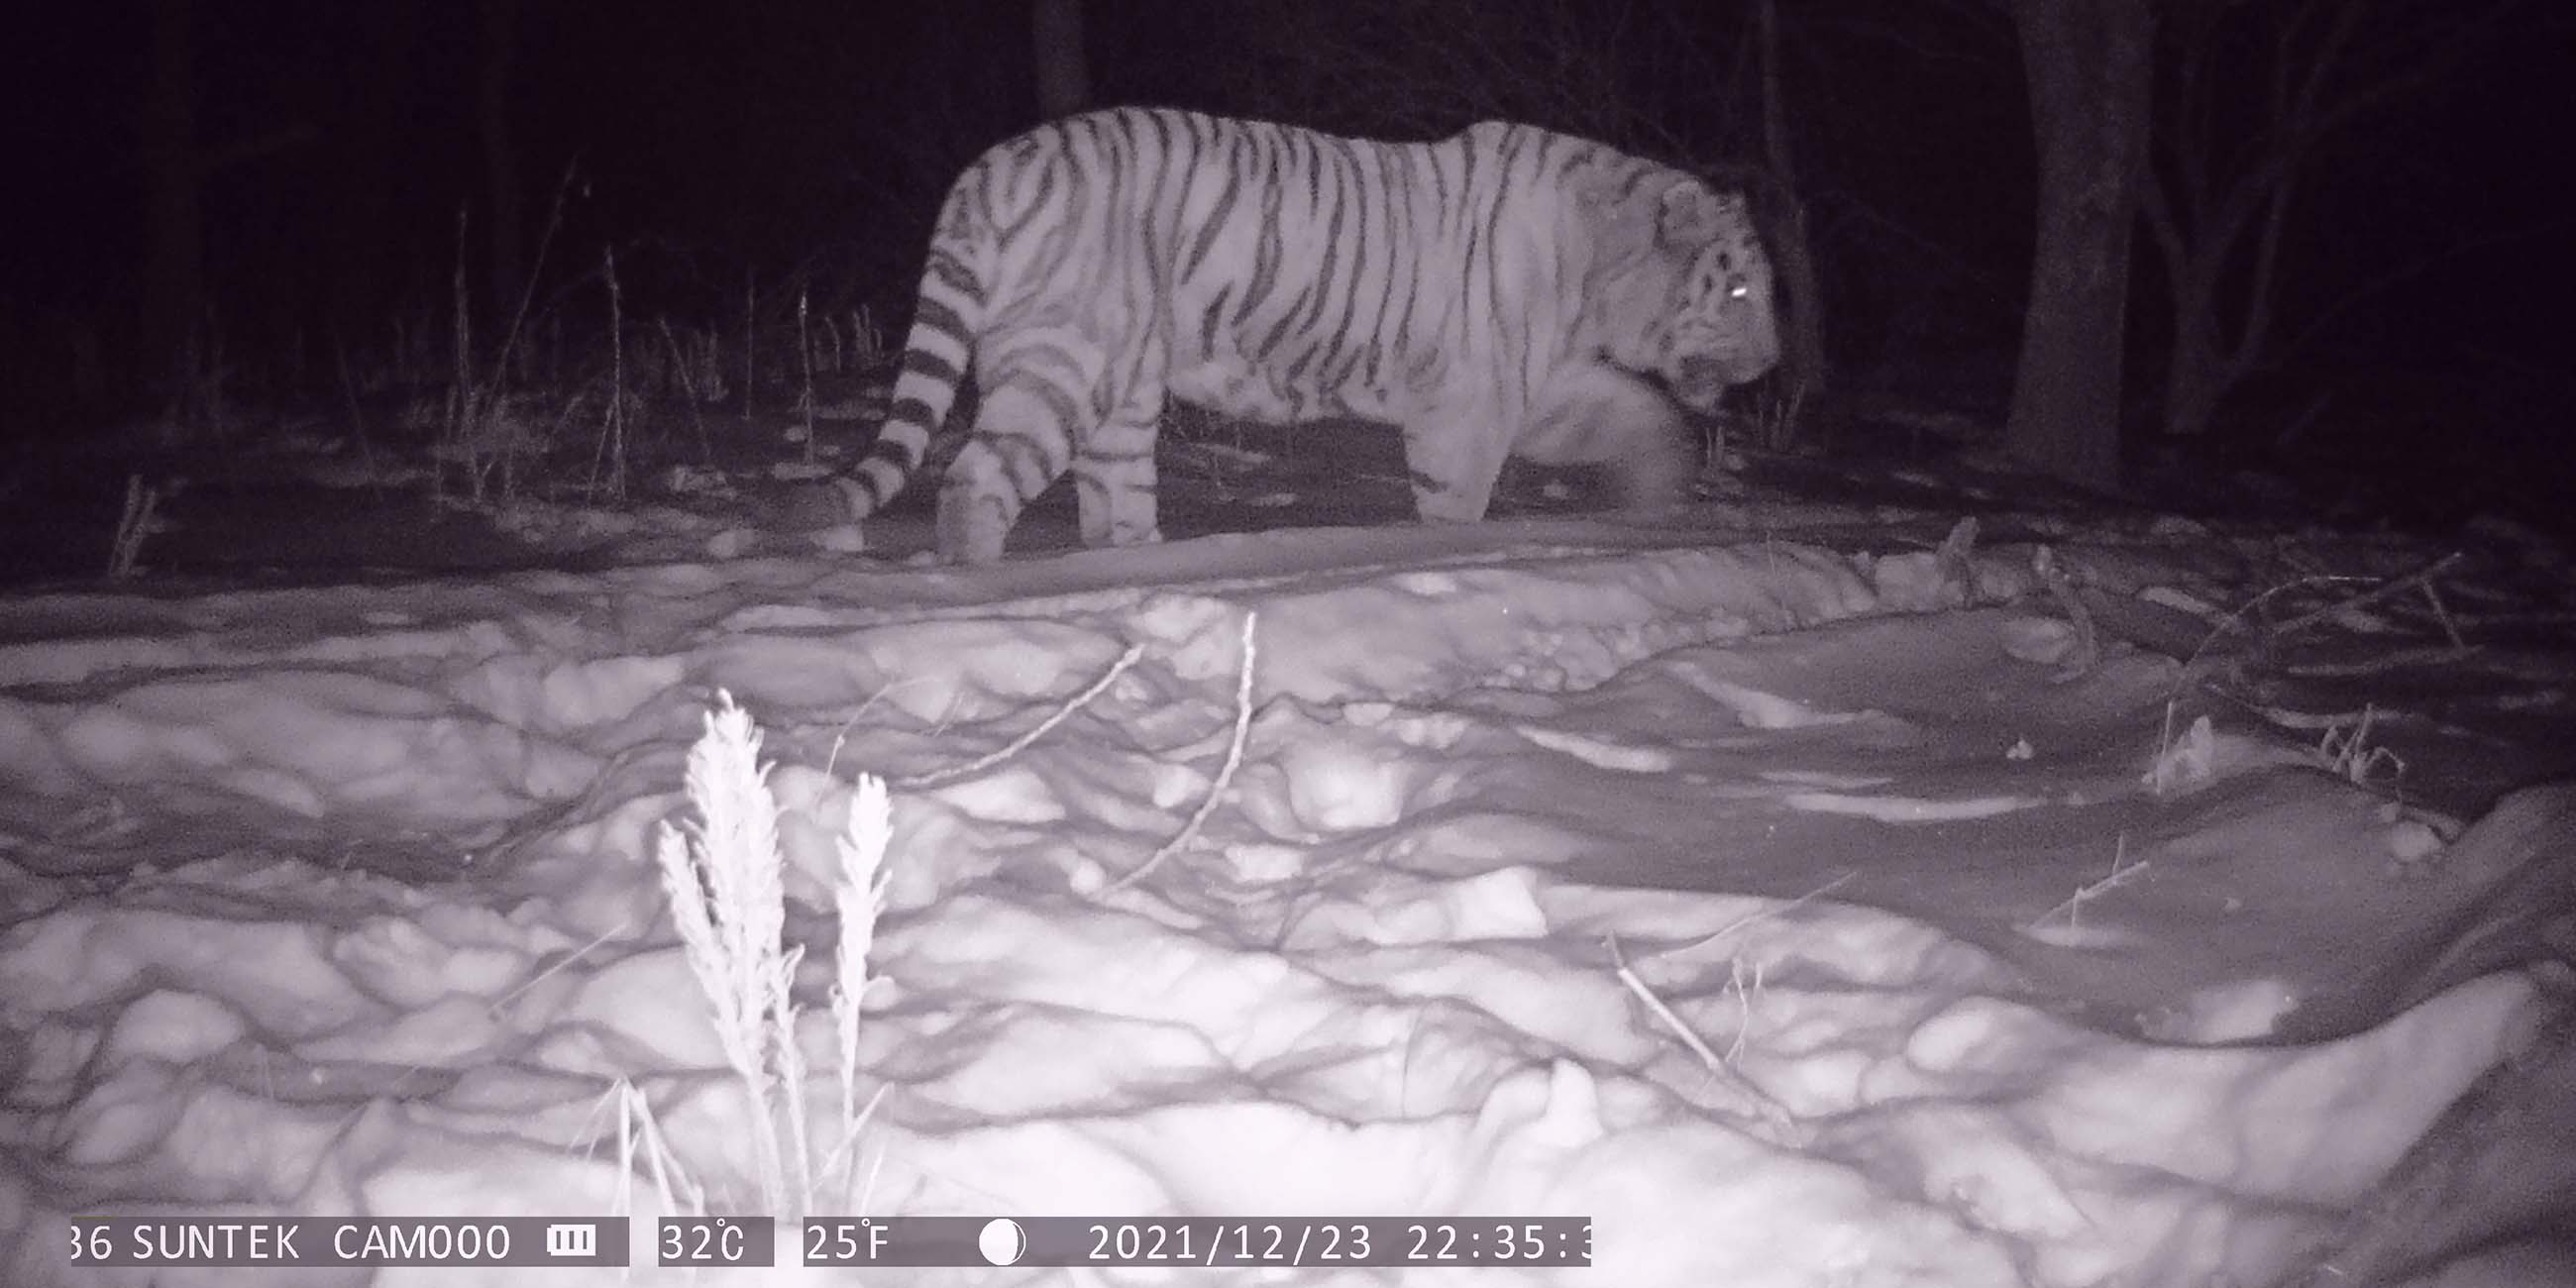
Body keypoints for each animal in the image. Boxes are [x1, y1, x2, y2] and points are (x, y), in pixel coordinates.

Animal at [834, 107, 1781, 565]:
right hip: (1070, 364)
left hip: (1123, 393)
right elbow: (1456, 509)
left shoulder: (1539, 384)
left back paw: (1136, 568)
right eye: (1738, 288)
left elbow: (1635, 413)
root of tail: (991, 168)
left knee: (1112, 507)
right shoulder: (1469, 408)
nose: (1773, 360)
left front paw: (1662, 496)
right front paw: (1458, 561)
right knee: (975, 483)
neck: (1596, 266)